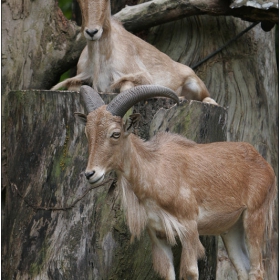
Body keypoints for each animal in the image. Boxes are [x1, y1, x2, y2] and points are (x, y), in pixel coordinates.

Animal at [75, 85, 276, 280]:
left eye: (115, 134)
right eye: (87, 133)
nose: (90, 174)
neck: (156, 171)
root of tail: (264, 163)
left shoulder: (189, 228)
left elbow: (190, 272)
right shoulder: (158, 235)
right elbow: (167, 272)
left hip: (254, 216)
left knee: (257, 269)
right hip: (231, 228)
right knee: (243, 269)